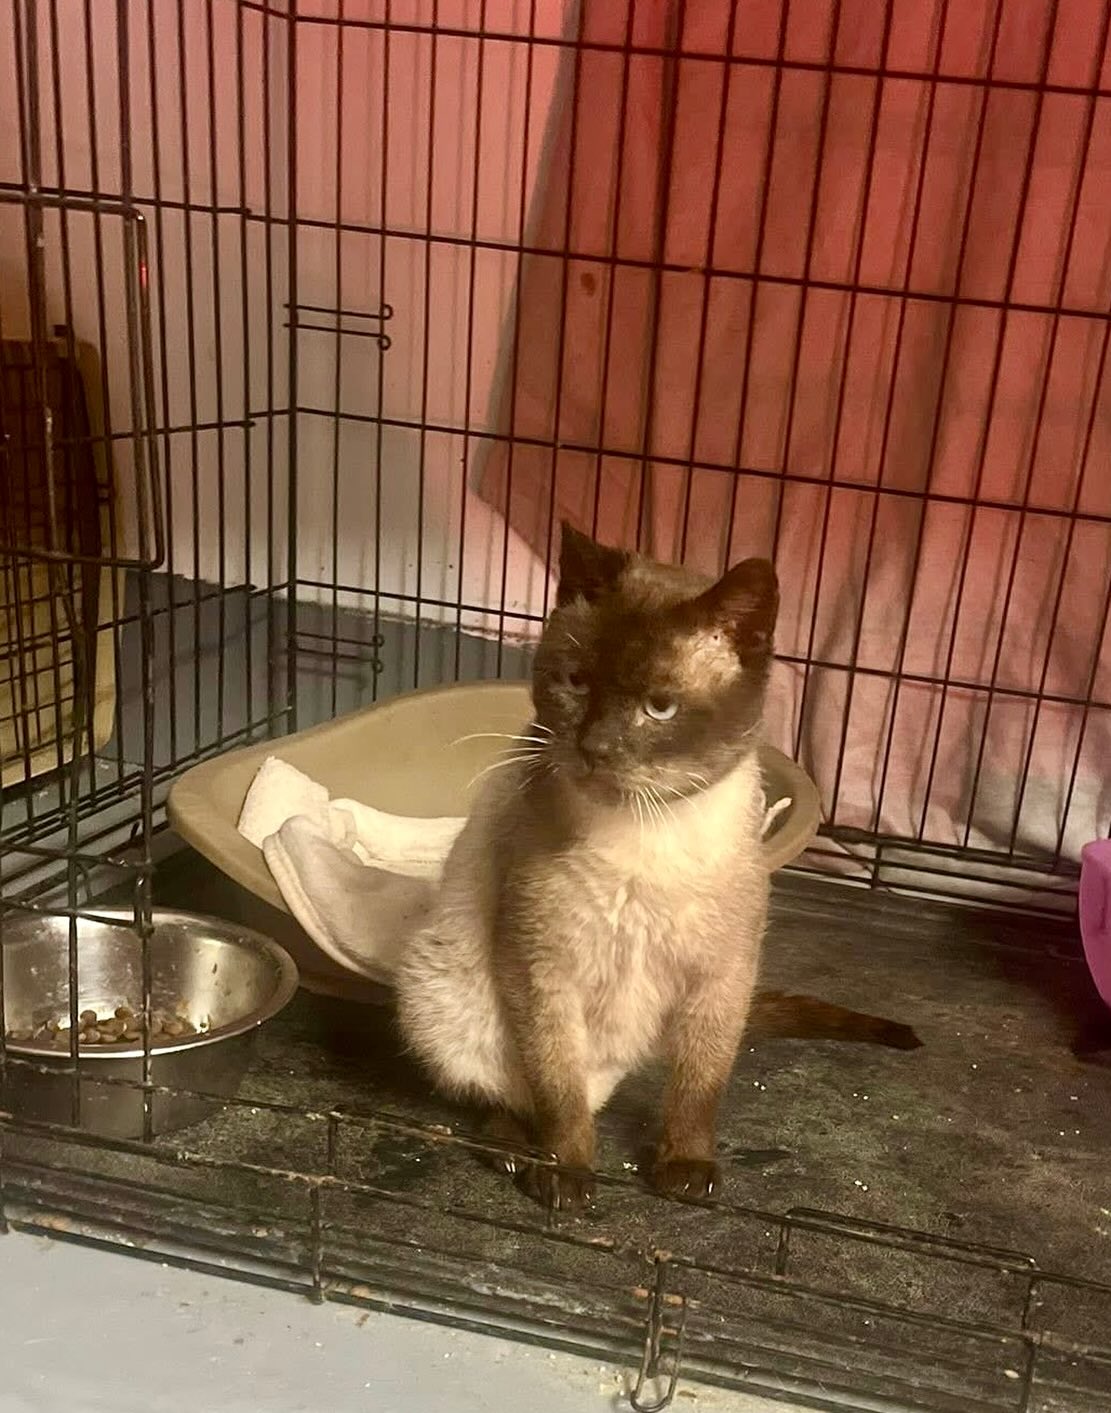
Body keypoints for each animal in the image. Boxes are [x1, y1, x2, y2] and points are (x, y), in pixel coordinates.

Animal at [395, 524, 918, 1212]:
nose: (594, 748)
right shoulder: (542, 972)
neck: (650, 828)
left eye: (661, 709)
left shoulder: (721, 977)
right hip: (444, 995)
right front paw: (566, 1174)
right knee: (510, 1093)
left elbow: (698, 1088)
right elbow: (556, 1094)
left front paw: (685, 1169)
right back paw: (515, 1150)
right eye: (577, 682)